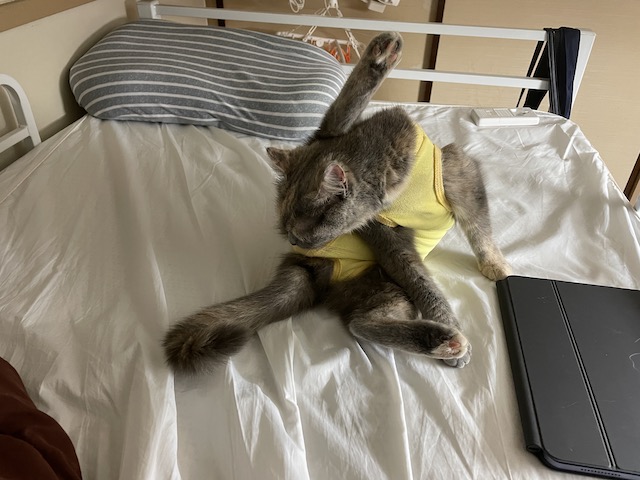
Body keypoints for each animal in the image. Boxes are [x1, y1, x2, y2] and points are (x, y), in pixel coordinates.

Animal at [163, 32, 511, 375]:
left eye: (300, 235)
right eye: (286, 233)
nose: (294, 243)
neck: (395, 174)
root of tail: (307, 268)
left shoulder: (458, 173)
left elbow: (479, 228)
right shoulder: (383, 234)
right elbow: (422, 280)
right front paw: (451, 322)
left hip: (378, 284)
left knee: (364, 321)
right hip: (382, 282)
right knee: (361, 324)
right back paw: (444, 340)